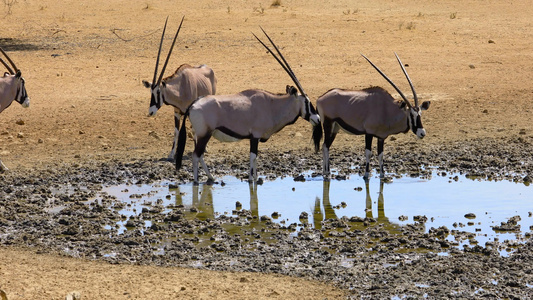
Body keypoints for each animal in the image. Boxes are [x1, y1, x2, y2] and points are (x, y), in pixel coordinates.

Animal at [143, 15, 216, 162]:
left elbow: (193, 130)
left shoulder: (189, 111)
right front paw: (171, 154)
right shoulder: (176, 112)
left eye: (158, 91)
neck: (180, 88)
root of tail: (209, 68)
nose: (151, 112)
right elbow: (176, 131)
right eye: (150, 92)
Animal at [177, 27, 320, 183]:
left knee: (200, 155)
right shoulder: (255, 136)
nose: (317, 118)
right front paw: (251, 179)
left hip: (203, 135)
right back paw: (197, 181)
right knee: (196, 155)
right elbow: (253, 157)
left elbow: (255, 159)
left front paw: (256, 178)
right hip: (204, 134)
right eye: (306, 101)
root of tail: (193, 105)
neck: (272, 105)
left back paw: (211, 177)